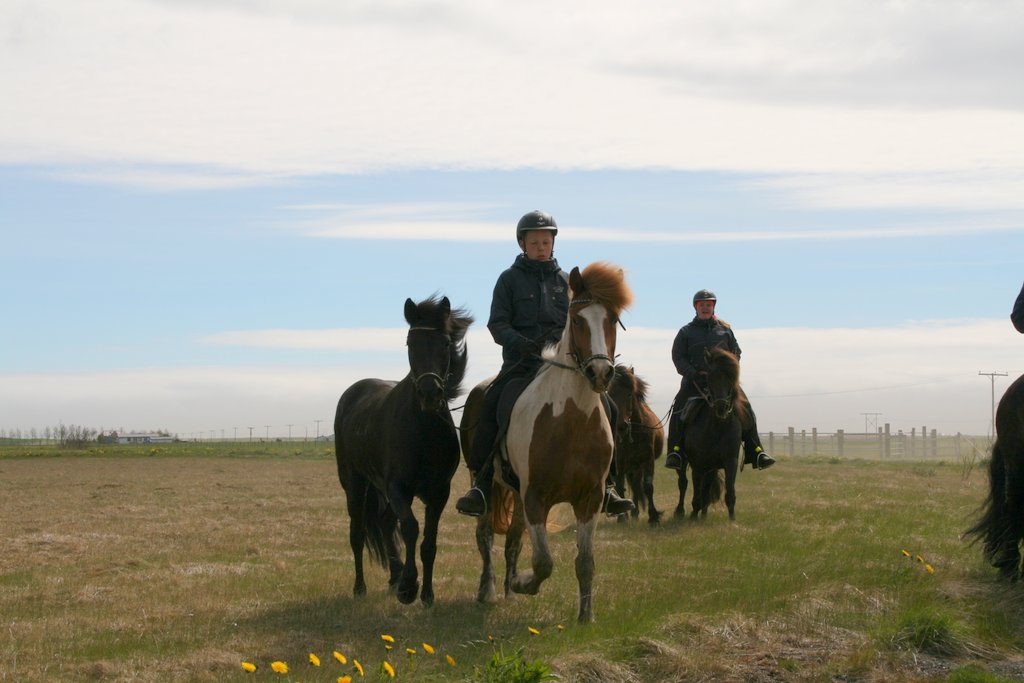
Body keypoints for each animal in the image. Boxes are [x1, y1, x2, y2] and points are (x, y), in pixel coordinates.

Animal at [334, 295, 472, 605]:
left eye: (446, 343)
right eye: (411, 343)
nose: (430, 393)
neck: (423, 429)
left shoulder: (439, 493)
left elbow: (429, 542)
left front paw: (427, 594)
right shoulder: (399, 488)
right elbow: (410, 528)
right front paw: (410, 586)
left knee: (385, 523)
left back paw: (394, 576)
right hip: (355, 484)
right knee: (358, 533)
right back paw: (361, 587)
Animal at [607, 364, 665, 526]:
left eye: (629, 394)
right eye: (611, 394)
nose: (621, 427)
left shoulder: (648, 460)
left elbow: (648, 487)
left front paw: (653, 517)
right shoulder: (620, 464)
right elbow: (620, 488)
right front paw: (622, 517)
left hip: (637, 467)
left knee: (637, 486)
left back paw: (636, 512)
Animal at [674, 346, 746, 521]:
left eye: (731, 377)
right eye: (710, 378)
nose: (721, 407)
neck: (716, 427)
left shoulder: (730, 461)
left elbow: (729, 492)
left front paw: (732, 520)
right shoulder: (697, 464)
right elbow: (695, 492)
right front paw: (693, 515)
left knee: (706, 487)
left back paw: (704, 513)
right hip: (686, 462)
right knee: (683, 482)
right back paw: (681, 511)